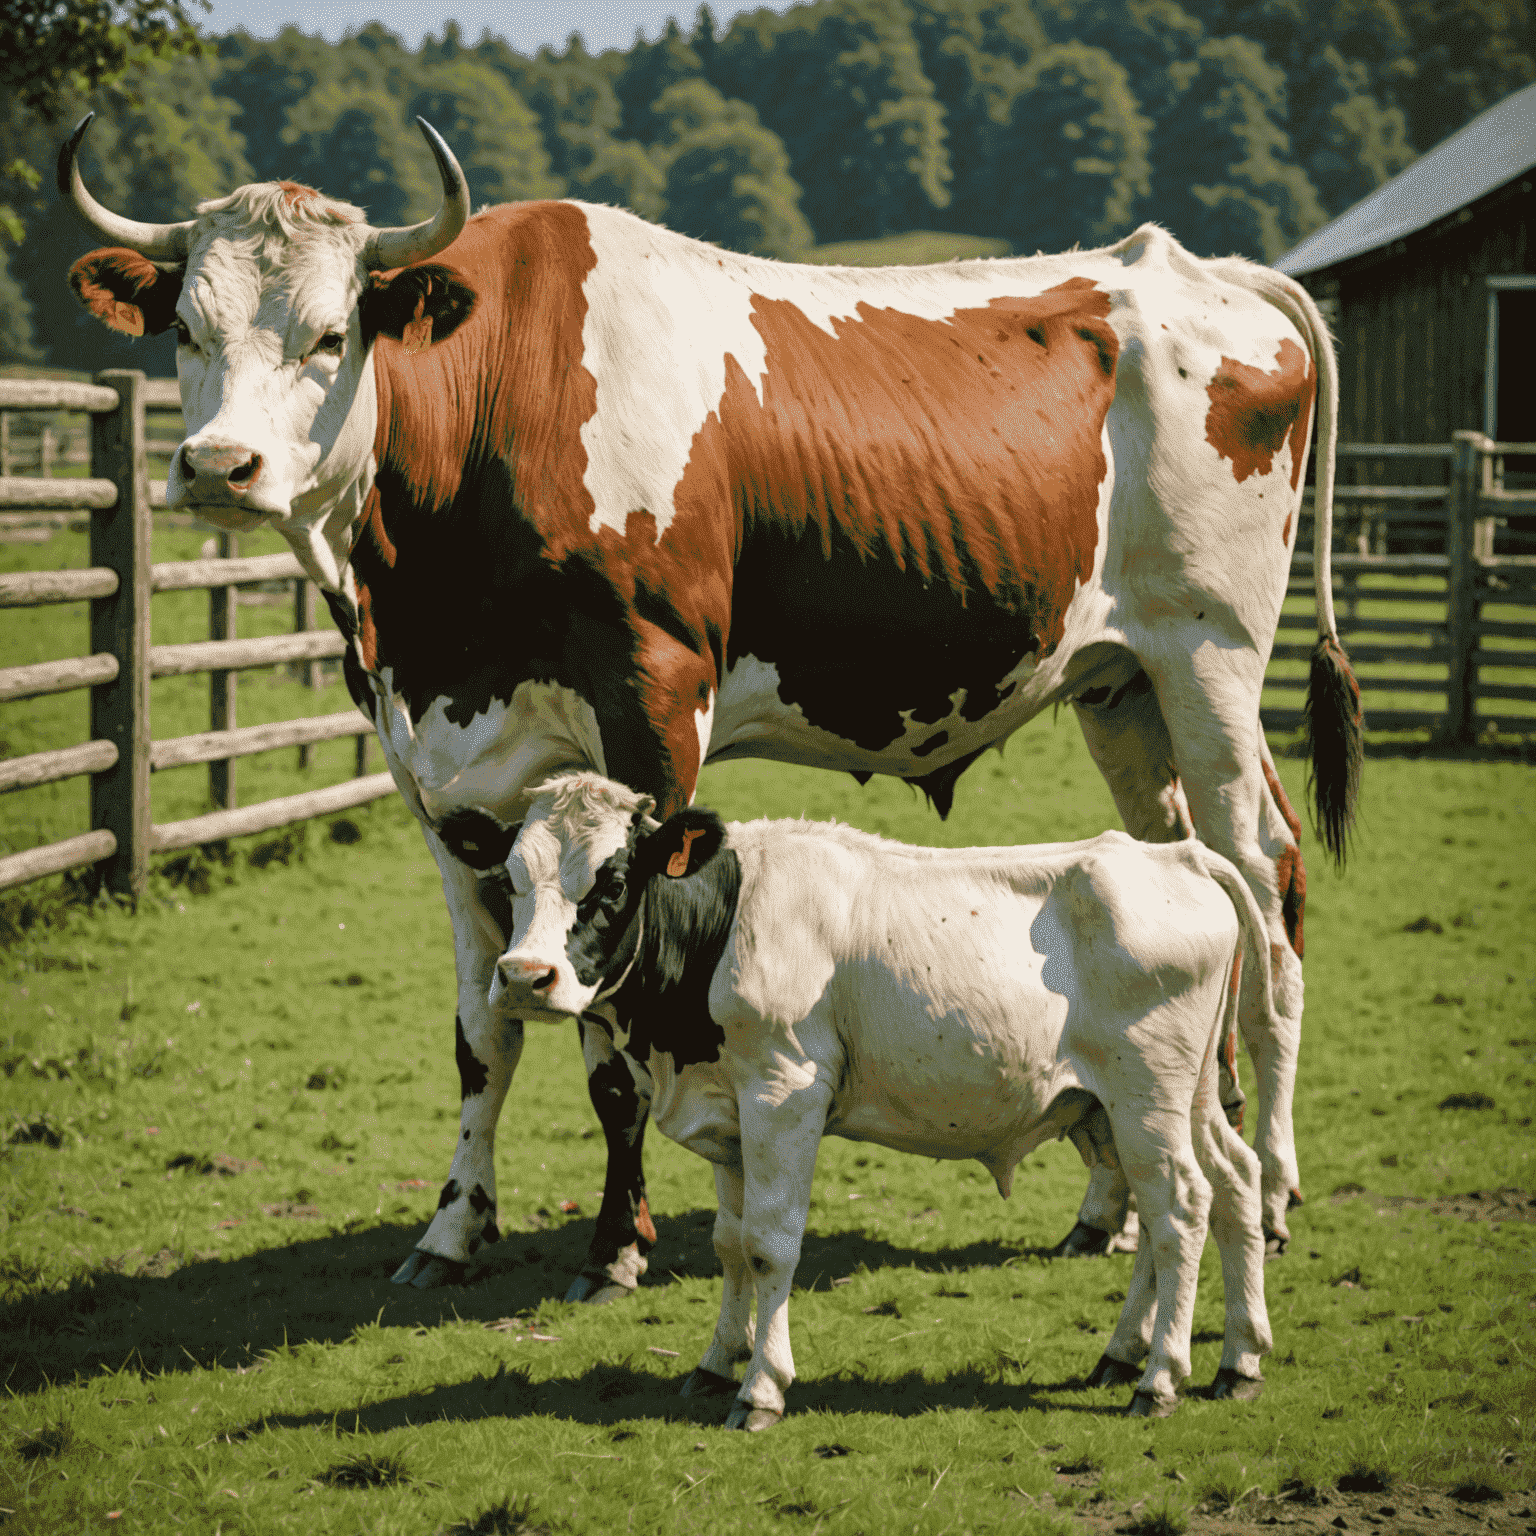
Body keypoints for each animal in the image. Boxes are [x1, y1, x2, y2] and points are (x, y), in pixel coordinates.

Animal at [59, 116, 1357, 1296]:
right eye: (186, 329)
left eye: (332, 335)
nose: (217, 467)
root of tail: (1196, 268)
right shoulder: (439, 775)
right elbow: (484, 1029)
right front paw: (452, 1229)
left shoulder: (653, 705)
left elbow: (608, 1037)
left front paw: (615, 1247)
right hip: (1122, 686)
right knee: (1180, 871)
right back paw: (1121, 1203)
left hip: (1210, 659)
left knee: (1267, 877)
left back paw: (1275, 1186)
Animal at [488, 774, 1271, 1419]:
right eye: (510, 880)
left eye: (613, 881)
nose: (525, 976)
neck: (722, 923)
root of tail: (1176, 857)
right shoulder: (730, 1117)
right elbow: (731, 1244)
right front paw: (714, 1366)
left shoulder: (782, 1096)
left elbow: (770, 1245)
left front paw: (761, 1389)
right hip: (1161, 1104)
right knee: (1230, 1185)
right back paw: (1215, 1360)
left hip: (1148, 1098)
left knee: (1180, 1211)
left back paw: (1161, 1378)